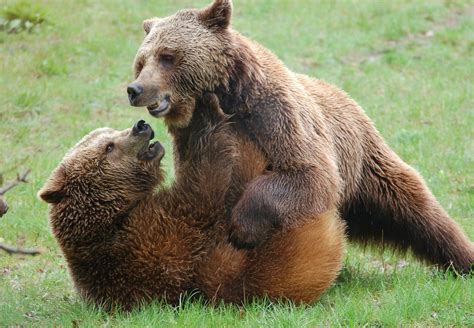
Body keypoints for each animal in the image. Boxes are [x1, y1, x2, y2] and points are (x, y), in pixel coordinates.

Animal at [39, 96, 346, 310]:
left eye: (110, 133)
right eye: (109, 147)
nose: (140, 126)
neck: (115, 213)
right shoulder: (157, 238)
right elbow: (206, 183)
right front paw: (204, 112)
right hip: (278, 253)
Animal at [127, 0, 474, 272]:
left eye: (168, 56)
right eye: (141, 62)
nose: (136, 89)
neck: (224, 95)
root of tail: (346, 96)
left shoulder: (273, 114)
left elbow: (308, 173)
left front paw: (242, 228)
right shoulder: (192, 137)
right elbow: (201, 184)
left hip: (363, 160)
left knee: (413, 205)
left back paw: (462, 257)